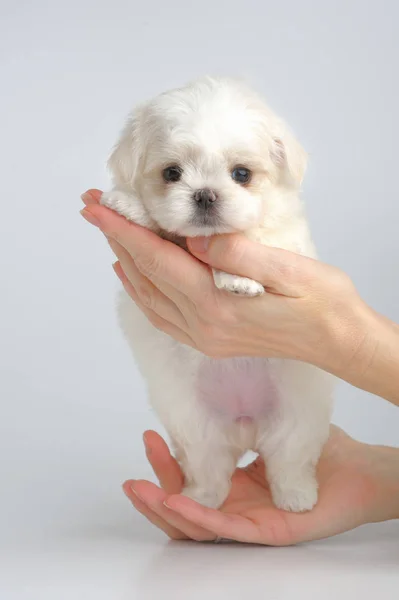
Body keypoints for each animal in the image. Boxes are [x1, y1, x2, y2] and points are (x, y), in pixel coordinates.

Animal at [102, 76, 334, 510]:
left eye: (241, 174)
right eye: (172, 173)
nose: (205, 194)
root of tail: (245, 427)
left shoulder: (286, 246)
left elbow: (253, 236)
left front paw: (238, 279)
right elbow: (162, 228)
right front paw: (130, 205)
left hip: (300, 415)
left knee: (289, 458)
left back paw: (296, 497)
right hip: (194, 422)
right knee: (208, 465)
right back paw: (201, 499)